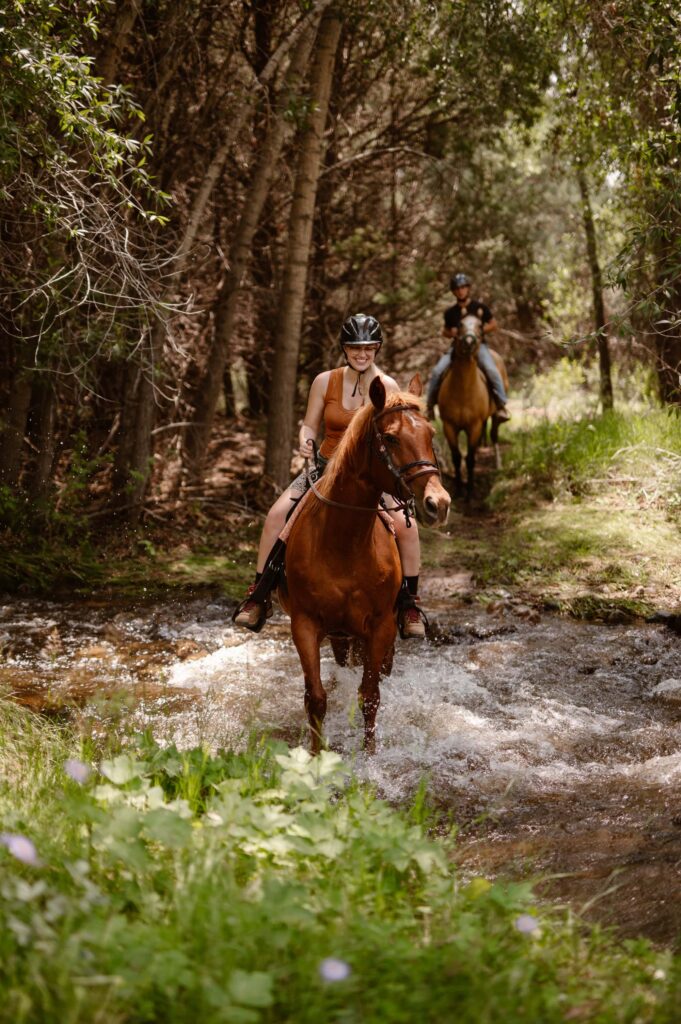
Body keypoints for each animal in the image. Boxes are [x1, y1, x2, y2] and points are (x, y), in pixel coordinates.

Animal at [278, 376, 448, 753]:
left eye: (430, 433)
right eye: (391, 437)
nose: (438, 503)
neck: (344, 542)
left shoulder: (380, 626)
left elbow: (370, 695)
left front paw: (370, 757)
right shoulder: (305, 624)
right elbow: (316, 698)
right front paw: (315, 758)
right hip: (338, 634)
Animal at [436, 313, 509, 501]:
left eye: (480, 326)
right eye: (460, 324)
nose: (469, 342)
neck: (463, 391)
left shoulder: (474, 426)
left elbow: (469, 459)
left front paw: (469, 493)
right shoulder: (449, 426)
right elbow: (456, 457)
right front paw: (458, 490)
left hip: (495, 414)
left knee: (494, 433)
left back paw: (498, 464)